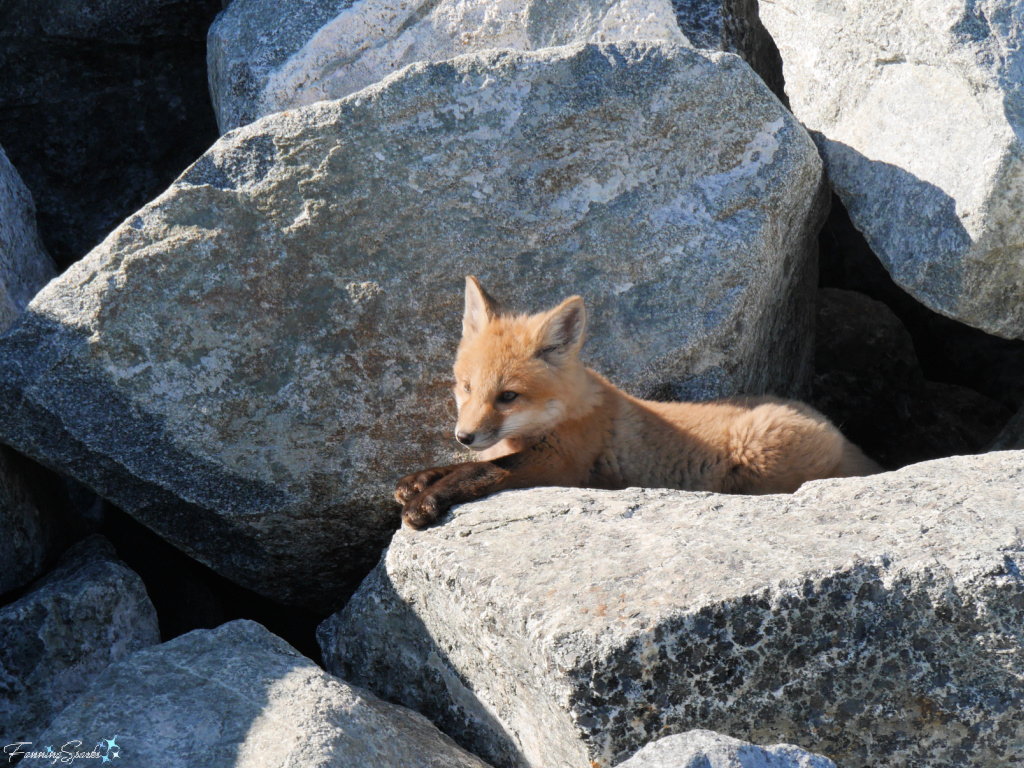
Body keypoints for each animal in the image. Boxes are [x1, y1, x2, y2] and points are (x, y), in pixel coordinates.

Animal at [395, 276, 882, 528]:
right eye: (465, 387)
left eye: (508, 396)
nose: (464, 435)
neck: (561, 417)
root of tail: (839, 433)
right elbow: (461, 466)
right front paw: (419, 480)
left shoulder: (560, 465)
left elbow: (482, 472)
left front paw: (428, 500)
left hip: (759, 454)